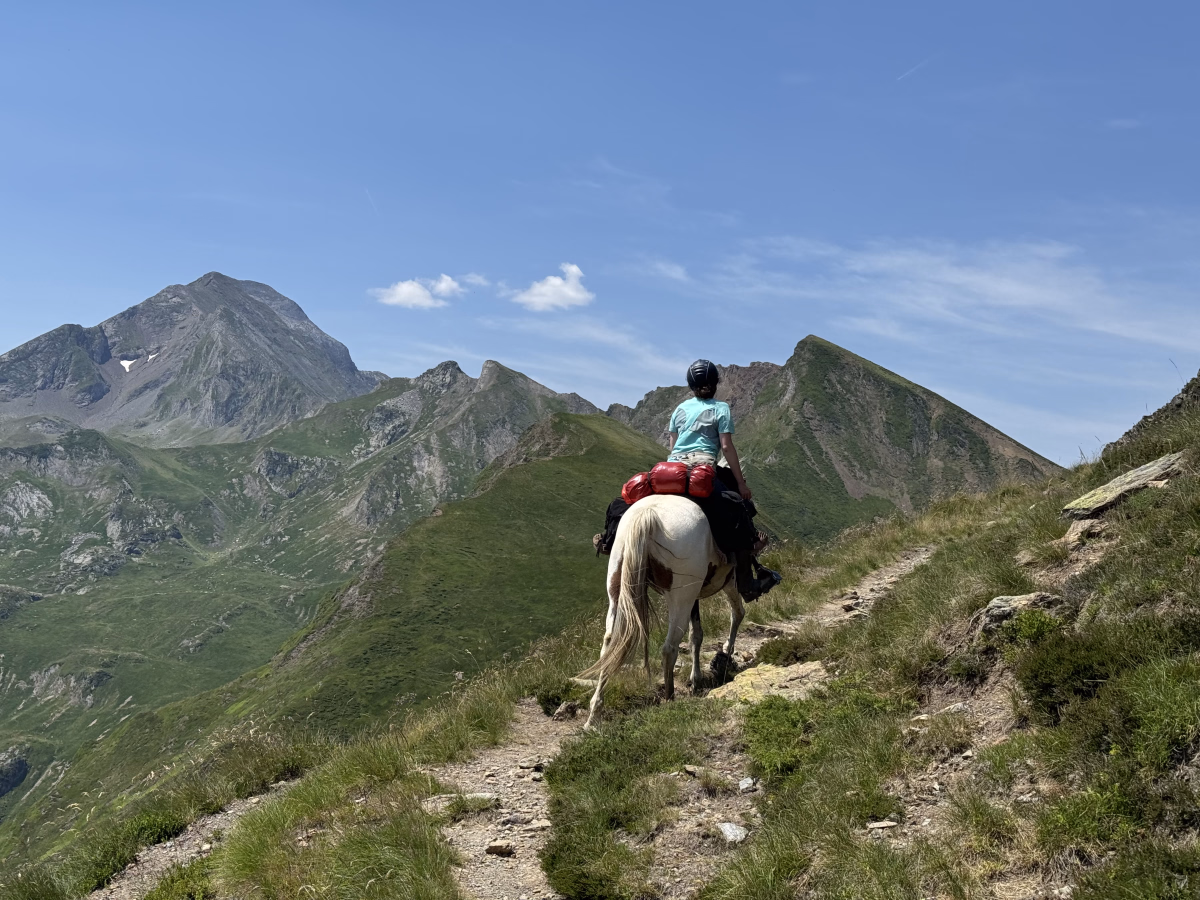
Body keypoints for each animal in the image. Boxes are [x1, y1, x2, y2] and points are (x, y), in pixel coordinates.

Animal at [582, 493, 745, 730]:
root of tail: (647, 515)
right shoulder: (728, 579)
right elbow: (736, 613)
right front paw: (725, 652)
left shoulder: (696, 597)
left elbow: (696, 635)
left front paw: (696, 678)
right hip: (680, 597)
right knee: (669, 647)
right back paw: (669, 697)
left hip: (618, 587)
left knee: (610, 645)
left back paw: (594, 715)